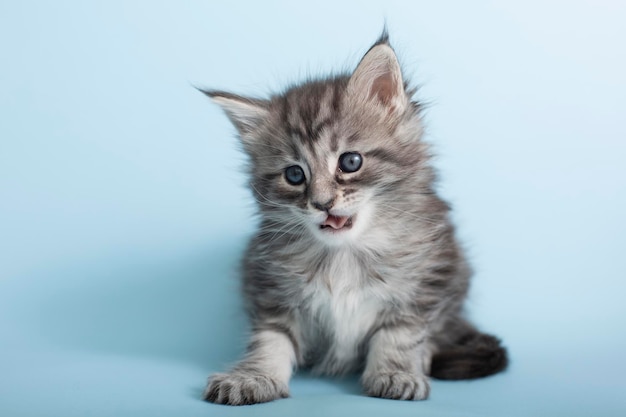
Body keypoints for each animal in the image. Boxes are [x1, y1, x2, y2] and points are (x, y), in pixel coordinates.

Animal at [202, 32, 504, 404]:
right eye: (294, 175)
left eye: (350, 162)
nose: (322, 203)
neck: (344, 254)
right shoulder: (269, 287)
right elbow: (269, 339)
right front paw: (253, 377)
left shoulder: (427, 281)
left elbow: (400, 334)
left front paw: (395, 373)